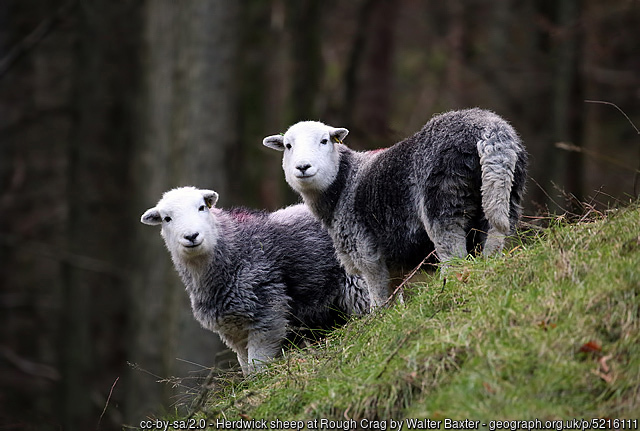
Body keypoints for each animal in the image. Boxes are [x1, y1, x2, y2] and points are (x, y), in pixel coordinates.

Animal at [140, 186, 369, 374]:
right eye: (166, 218)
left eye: (202, 207)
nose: (191, 236)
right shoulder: (233, 329)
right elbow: (246, 367)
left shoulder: (267, 310)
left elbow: (258, 364)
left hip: (359, 284)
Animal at [263, 108, 528, 308]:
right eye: (287, 145)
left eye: (324, 140)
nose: (303, 167)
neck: (344, 182)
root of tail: (491, 132)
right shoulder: (394, 263)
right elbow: (393, 297)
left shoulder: (366, 252)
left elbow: (379, 298)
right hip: (505, 194)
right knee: (494, 240)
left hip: (444, 202)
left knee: (453, 257)